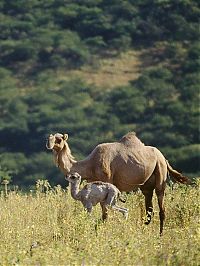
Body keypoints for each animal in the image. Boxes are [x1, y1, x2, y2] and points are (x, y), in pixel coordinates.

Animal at [45, 131, 191, 235]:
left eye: (59, 139)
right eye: (49, 137)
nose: (49, 144)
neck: (90, 165)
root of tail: (164, 158)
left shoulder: (107, 181)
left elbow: (105, 214)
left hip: (160, 171)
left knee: (161, 206)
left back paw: (160, 234)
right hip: (147, 185)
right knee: (149, 208)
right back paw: (143, 230)